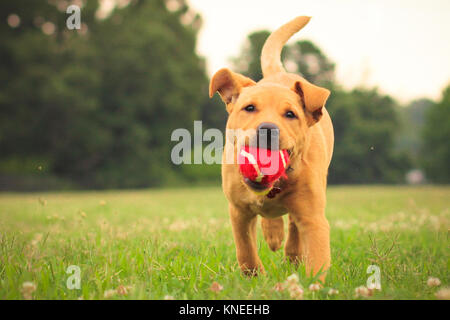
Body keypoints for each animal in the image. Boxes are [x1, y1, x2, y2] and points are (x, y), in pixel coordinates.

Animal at [209, 16, 332, 282]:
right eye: (249, 108)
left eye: (290, 114)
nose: (268, 129)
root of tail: (280, 73)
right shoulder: (238, 210)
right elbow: (245, 249)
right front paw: (254, 276)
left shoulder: (313, 217)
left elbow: (316, 255)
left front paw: (314, 284)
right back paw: (273, 233)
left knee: (293, 227)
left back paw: (291, 253)